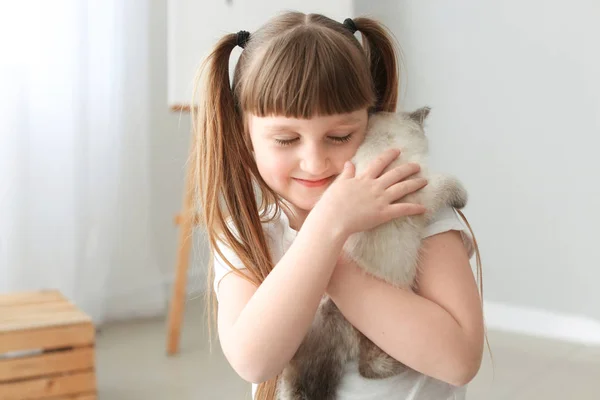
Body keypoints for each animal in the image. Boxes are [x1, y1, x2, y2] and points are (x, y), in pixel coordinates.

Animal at [276, 108, 468, 398]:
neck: (383, 146)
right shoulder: (423, 190)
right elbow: (449, 183)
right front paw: (462, 200)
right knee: (369, 366)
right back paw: (405, 366)